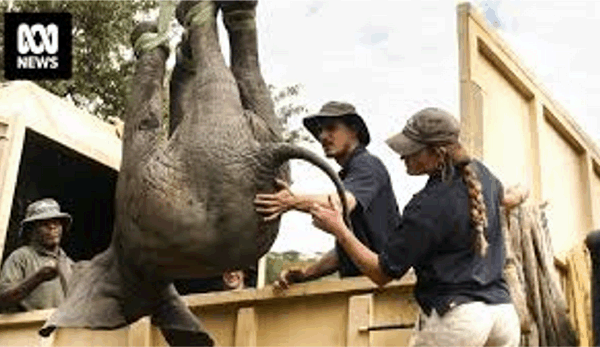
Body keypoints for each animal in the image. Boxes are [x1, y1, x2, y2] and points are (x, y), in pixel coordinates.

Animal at [37, 1, 350, 346]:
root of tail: (263, 157)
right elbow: (160, 114)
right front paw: (172, 45)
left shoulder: (136, 181)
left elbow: (144, 119)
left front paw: (158, 40)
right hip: (239, 134)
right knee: (238, 79)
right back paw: (221, 13)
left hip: (218, 139)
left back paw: (195, 16)